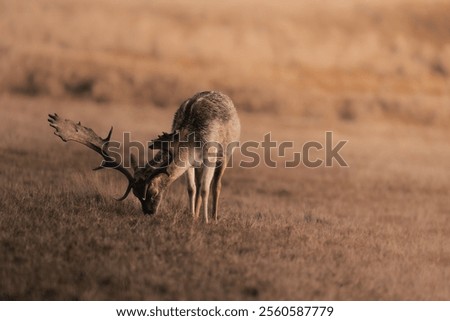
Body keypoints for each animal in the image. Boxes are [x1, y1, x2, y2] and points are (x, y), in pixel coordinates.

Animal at [47, 89, 241, 221]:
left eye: (153, 191)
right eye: (135, 193)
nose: (149, 212)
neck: (192, 141)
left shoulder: (210, 155)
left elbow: (205, 189)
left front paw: (205, 221)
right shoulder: (192, 163)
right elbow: (192, 188)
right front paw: (192, 217)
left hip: (227, 152)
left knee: (216, 185)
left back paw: (214, 218)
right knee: (200, 184)